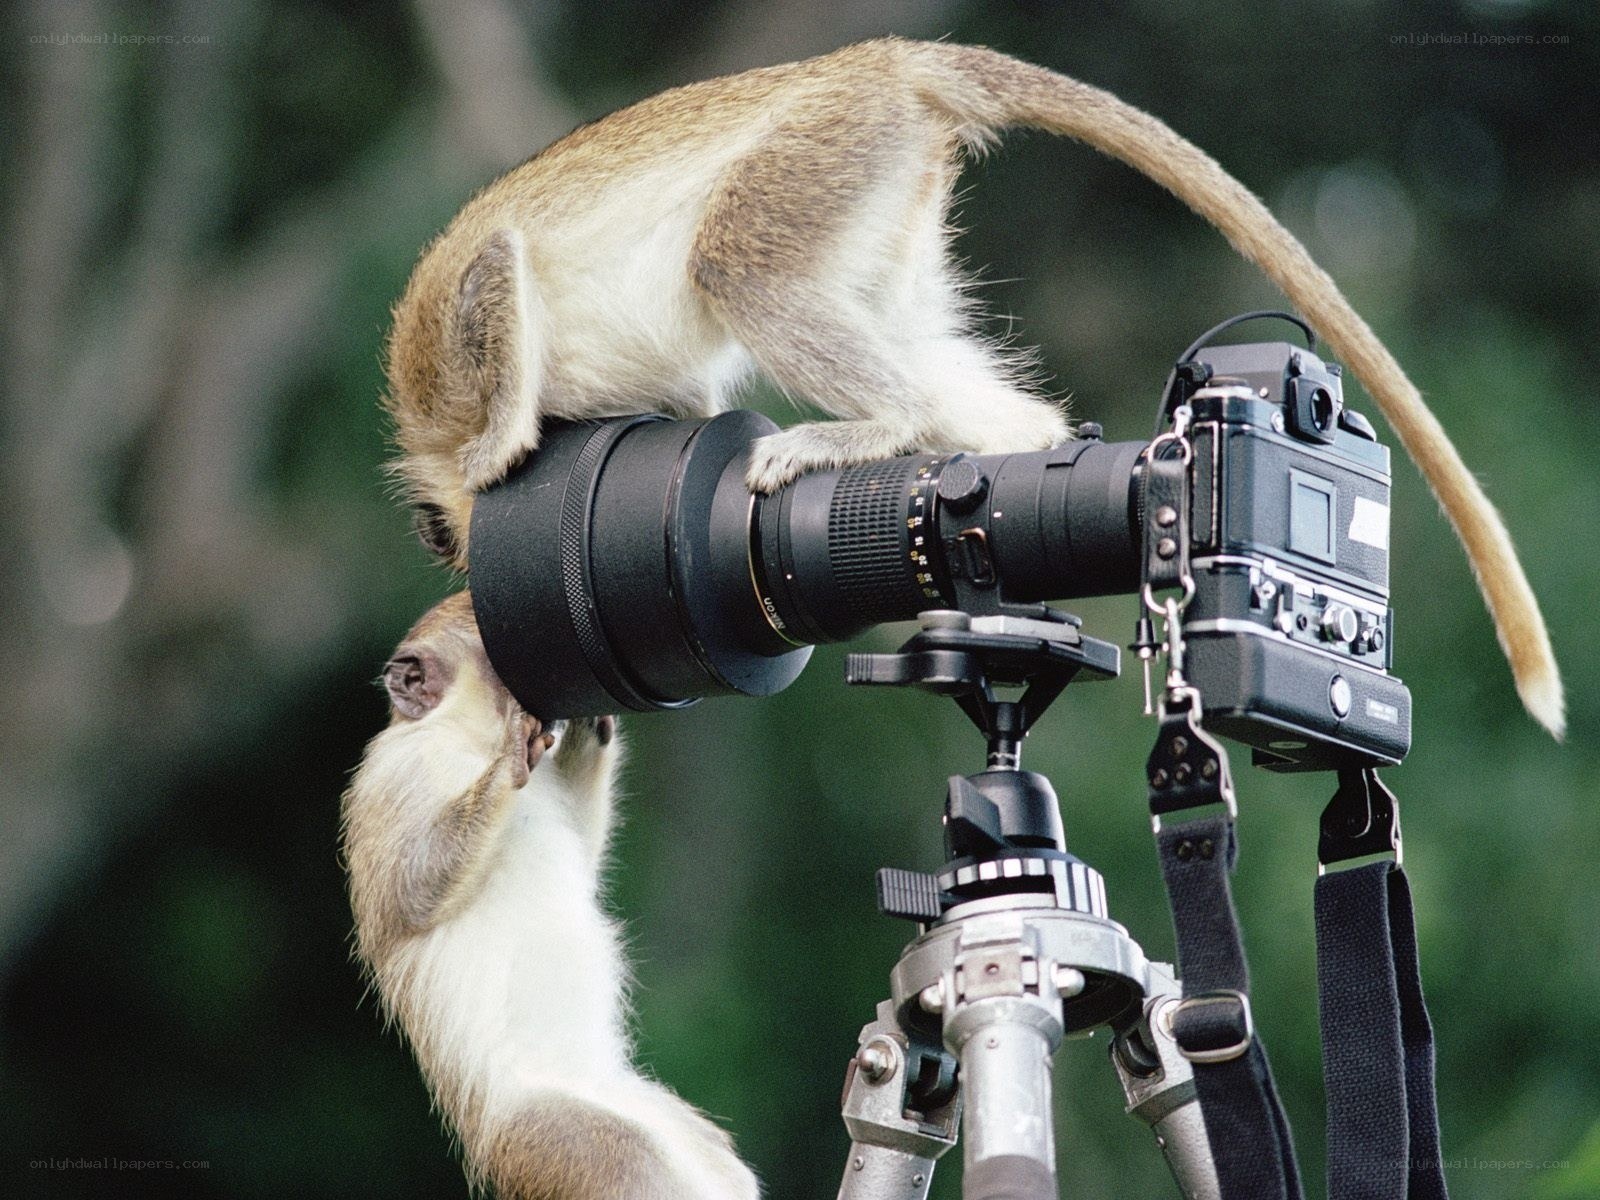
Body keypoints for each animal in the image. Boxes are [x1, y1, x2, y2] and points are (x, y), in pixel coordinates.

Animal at [341, 592, 760, 1200]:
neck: (466, 740)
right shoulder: (395, 774)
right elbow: (409, 892)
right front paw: (507, 763)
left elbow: (583, 858)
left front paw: (590, 731)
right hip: (556, 1137)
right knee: (633, 1165)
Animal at [383, 40, 1561, 731]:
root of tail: (881, 60)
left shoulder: (449, 339)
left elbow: (496, 275)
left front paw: (501, 451)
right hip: (876, 182)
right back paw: (1024, 448)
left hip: (811, 162)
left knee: (738, 264)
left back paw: (882, 427)